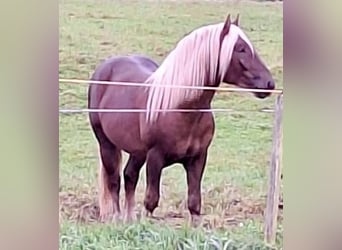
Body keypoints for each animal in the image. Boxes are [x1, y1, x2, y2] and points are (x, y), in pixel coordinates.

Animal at [87, 13, 276, 225]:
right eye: (240, 48)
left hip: (137, 152)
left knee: (129, 177)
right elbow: (151, 201)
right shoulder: (155, 158)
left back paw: (129, 218)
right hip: (107, 144)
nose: (269, 83)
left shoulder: (198, 159)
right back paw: (118, 219)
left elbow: (194, 203)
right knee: (114, 181)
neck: (182, 109)